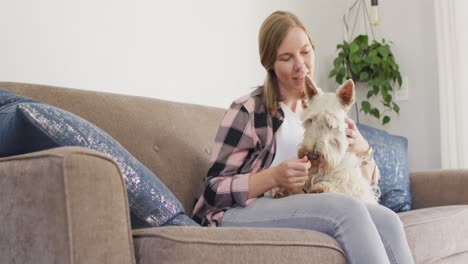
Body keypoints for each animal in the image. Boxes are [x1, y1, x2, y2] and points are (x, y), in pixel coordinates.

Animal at [274, 76, 380, 204]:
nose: (312, 155)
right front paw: (283, 188)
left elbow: (340, 186)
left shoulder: (354, 186)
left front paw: (321, 187)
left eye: (330, 124)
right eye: (310, 120)